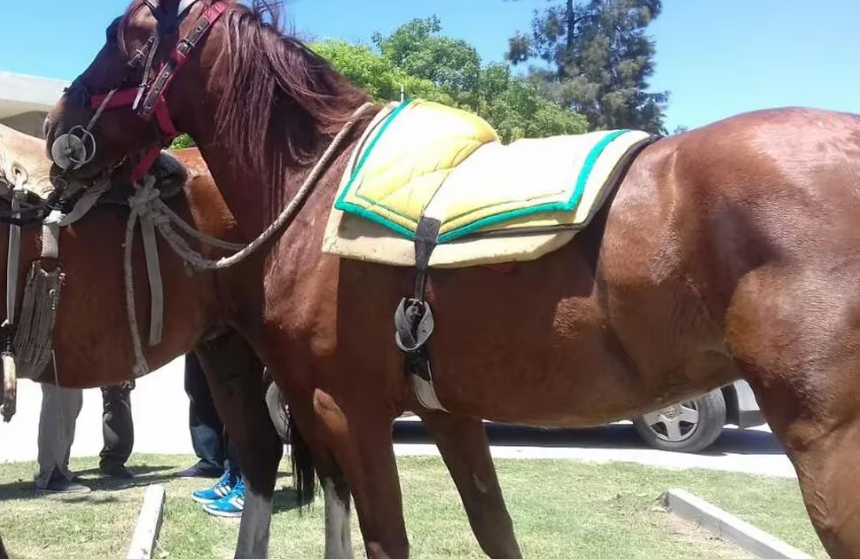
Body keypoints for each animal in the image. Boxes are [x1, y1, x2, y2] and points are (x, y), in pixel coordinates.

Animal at [44, 1, 860, 558]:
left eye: (120, 35)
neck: (315, 182)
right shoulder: (450, 415)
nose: (56, 128)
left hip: (827, 447)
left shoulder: (348, 411)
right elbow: (494, 527)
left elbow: (386, 539)